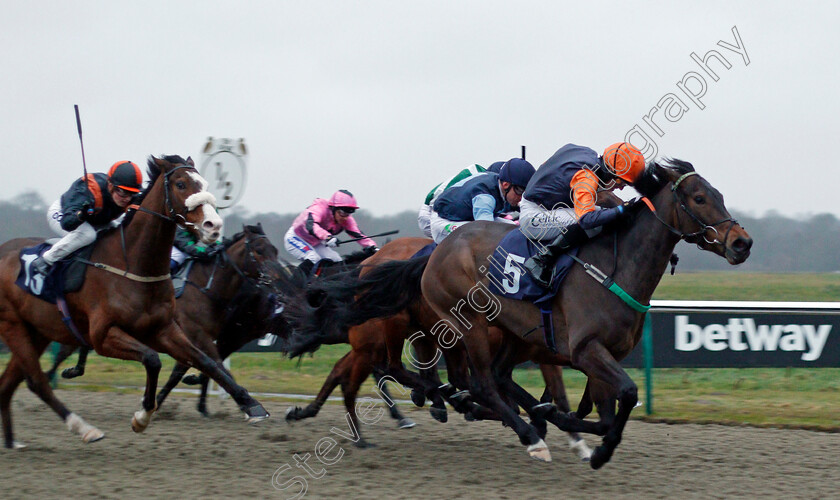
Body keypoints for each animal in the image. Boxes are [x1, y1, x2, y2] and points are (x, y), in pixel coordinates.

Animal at [0, 155, 270, 450]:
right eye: (181, 184)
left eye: (205, 184)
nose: (213, 226)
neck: (134, 265)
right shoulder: (103, 336)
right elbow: (153, 360)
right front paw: (143, 415)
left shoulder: (165, 330)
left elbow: (207, 362)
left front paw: (251, 405)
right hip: (13, 326)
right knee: (36, 381)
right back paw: (84, 428)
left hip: (37, 331)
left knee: (11, 382)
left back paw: (12, 443)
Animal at [316, 158, 756, 466]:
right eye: (699, 199)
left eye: (719, 195)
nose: (742, 243)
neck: (615, 267)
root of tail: (434, 251)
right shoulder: (584, 349)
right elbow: (624, 394)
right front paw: (590, 445)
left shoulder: (596, 353)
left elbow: (601, 408)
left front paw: (582, 436)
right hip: (465, 325)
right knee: (474, 381)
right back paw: (524, 435)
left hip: (507, 333)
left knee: (487, 377)